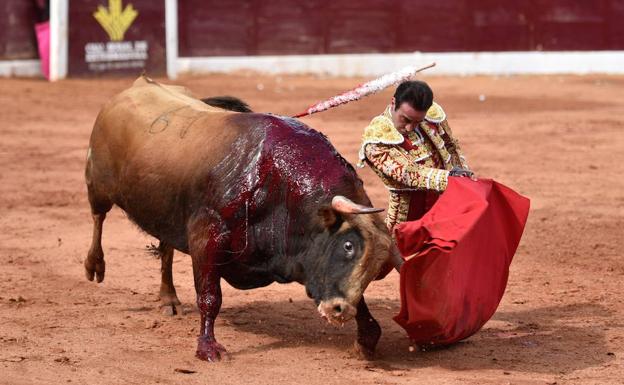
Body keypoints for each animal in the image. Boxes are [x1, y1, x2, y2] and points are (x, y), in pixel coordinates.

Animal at [83, 77, 398, 360]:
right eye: (348, 246)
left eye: (379, 268)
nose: (339, 310)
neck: (280, 185)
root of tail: (140, 82)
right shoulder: (206, 239)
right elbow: (210, 297)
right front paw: (208, 349)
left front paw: (366, 338)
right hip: (97, 182)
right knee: (99, 217)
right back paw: (94, 265)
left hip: (165, 209)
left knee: (165, 247)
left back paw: (168, 299)